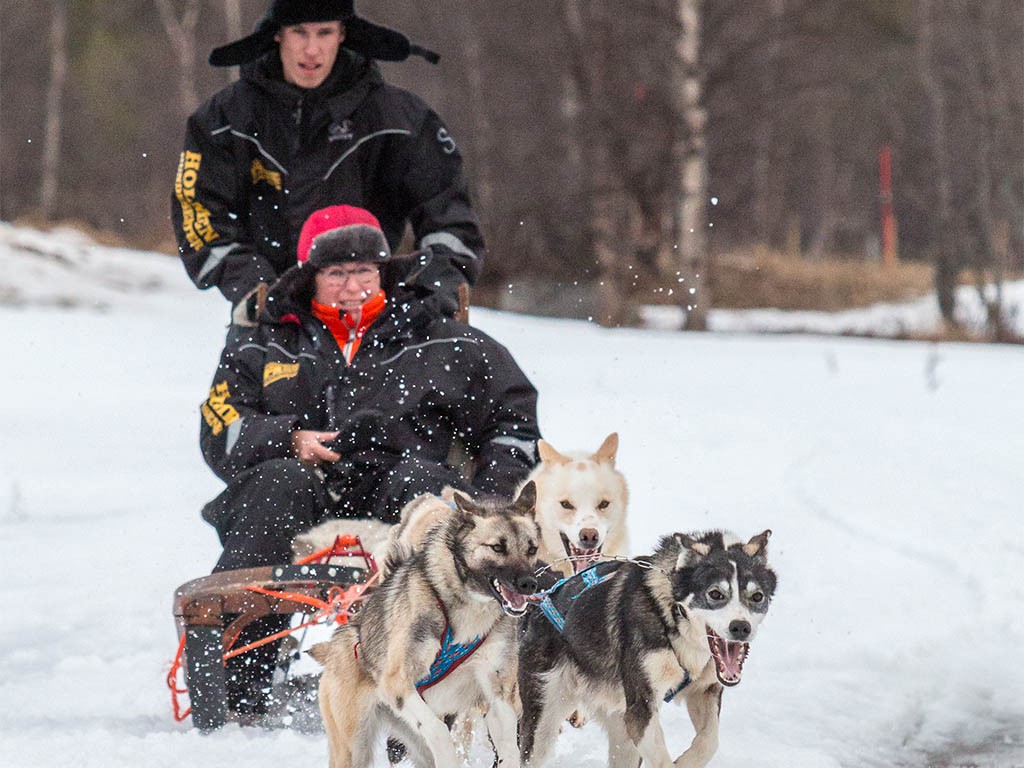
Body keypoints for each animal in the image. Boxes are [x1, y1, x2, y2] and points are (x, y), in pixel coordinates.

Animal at [307, 487, 540, 768]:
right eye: (497, 547)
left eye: (531, 549)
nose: (529, 584)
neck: (469, 606)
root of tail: (333, 647)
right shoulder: (398, 685)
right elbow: (440, 733)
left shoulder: (498, 694)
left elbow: (509, 747)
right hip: (353, 747)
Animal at [520, 528, 774, 768]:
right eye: (715, 594)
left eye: (757, 596)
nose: (740, 627)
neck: (673, 619)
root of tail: (542, 601)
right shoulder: (641, 708)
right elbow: (663, 760)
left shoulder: (705, 690)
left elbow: (709, 742)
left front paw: (685, 761)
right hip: (543, 722)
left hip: (623, 733)